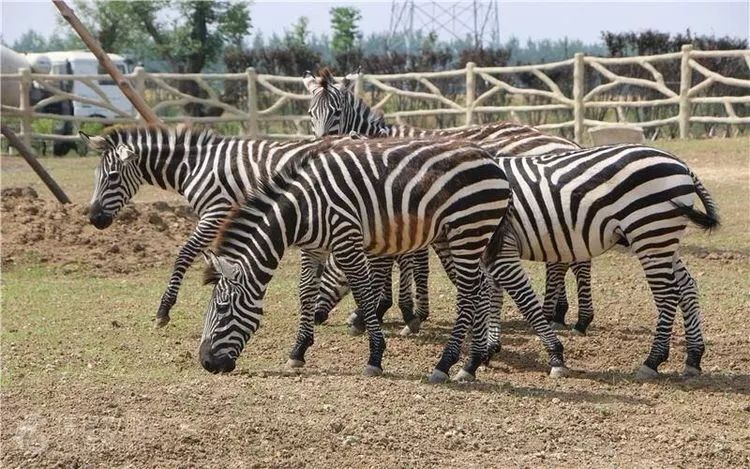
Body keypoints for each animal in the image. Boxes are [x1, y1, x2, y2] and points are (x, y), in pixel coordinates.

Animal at [200, 135, 568, 380]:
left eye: (222, 309)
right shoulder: (314, 246)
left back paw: (446, 364)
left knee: (468, 293)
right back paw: (472, 363)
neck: (303, 208)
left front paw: (375, 357)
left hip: (469, 228)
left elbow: (364, 293)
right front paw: (298, 351)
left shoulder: (346, 238)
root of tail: (493, 161)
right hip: (468, 234)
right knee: (479, 288)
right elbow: (305, 292)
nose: (205, 363)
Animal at [302, 67, 592, 338]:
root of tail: (567, 142)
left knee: (571, 260)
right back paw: (561, 313)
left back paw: (571, 317)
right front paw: (392, 309)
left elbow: (409, 263)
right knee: (566, 258)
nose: (320, 146)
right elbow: (405, 259)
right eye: (311, 113)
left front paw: (393, 312)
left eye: (337, 112)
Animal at [482, 144, 724, 376]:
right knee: (687, 287)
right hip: (663, 240)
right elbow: (493, 295)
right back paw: (693, 358)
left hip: (650, 233)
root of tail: (682, 165)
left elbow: (518, 300)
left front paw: (553, 357)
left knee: (668, 295)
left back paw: (653, 360)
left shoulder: (501, 248)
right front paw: (489, 348)